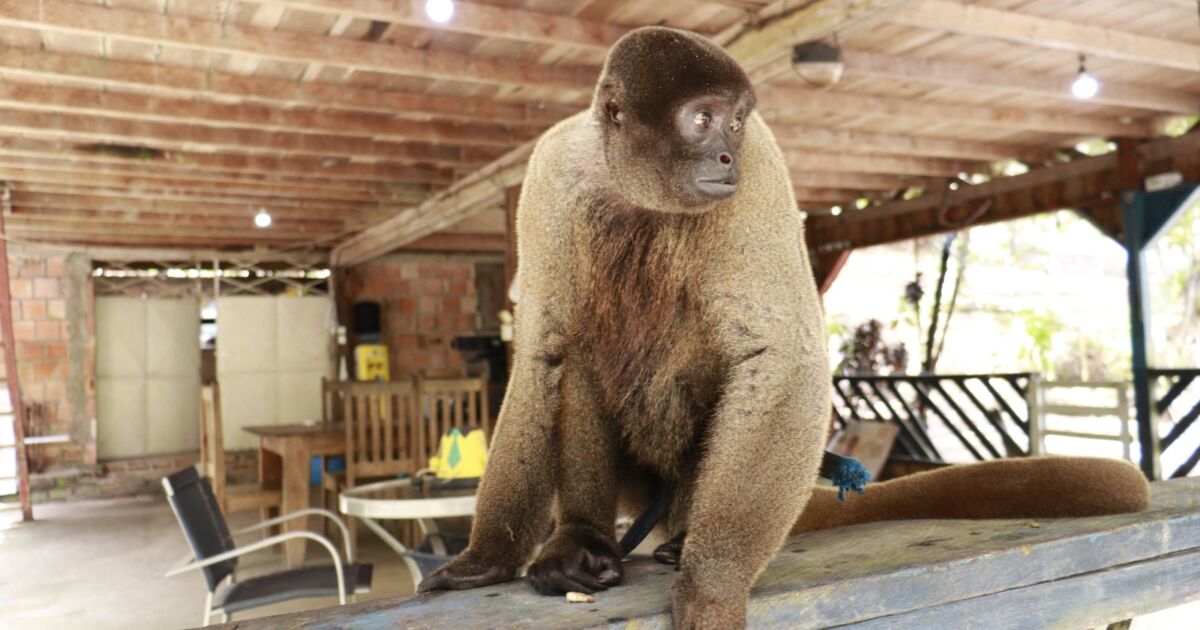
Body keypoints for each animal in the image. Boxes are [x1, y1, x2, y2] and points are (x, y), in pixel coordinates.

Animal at [417, 27, 1150, 630]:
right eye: (702, 120)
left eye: (737, 123)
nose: (724, 158)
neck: (631, 186)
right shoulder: (550, 175)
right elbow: (543, 351)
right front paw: (487, 556)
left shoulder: (762, 165)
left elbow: (780, 356)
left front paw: (712, 585)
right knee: (582, 353)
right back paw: (583, 542)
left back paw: (681, 543)